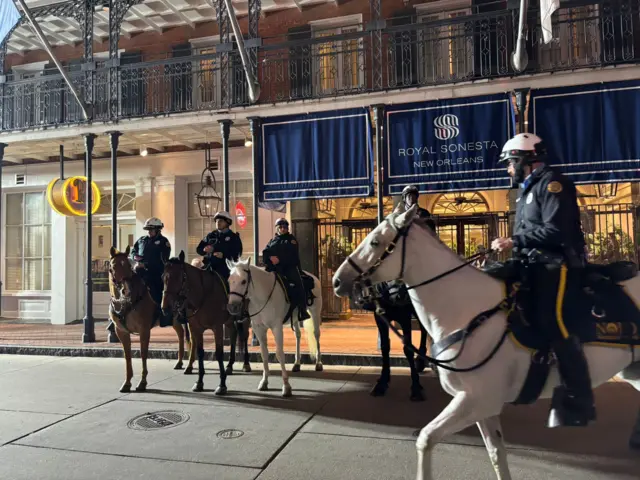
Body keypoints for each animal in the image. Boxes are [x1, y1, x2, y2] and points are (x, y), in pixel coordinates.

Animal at [106, 248, 188, 394]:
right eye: (113, 267)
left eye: (128, 265)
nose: (126, 290)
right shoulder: (121, 331)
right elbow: (127, 355)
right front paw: (127, 383)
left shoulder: (144, 330)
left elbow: (143, 353)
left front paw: (142, 382)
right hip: (174, 320)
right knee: (181, 333)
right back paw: (179, 362)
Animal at [162, 251, 238, 394]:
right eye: (163, 277)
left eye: (179, 277)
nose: (165, 308)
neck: (203, 294)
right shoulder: (196, 327)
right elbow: (200, 352)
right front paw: (199, 382)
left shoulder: (217, 327)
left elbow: (219, 353)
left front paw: (222, 384)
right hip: (229, 321)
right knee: (234, 335)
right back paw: (230, 365)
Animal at [226, 258, 324, 398]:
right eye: (229, 281)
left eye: (244, 281)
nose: (232, 307)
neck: (262, 297)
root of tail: (313, 276)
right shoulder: (258, 329)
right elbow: (264, 354)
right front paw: (264, 382)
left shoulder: (276, 327)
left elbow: (279, 354)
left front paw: (286, 386)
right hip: (295, 318)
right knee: (298, 335)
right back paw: (297, 363)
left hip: (315, 312)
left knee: (316, 334)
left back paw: (319, 363)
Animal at [330, 204, 640, 480]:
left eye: (375, 241)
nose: (336, 280)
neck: (468, 311)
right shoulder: (483, 407)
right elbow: (496, 454)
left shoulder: (476, 399)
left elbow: (425, 438)